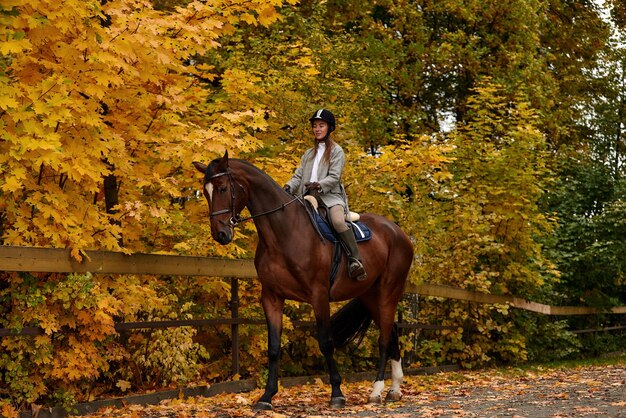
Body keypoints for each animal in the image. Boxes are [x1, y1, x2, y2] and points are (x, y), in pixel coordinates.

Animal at [193, 152, 412, 410]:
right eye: (205, 191)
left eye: (223, 188)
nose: (220, 234)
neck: (284, 232)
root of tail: (399, 232)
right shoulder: (272, 298)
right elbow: (273, 347)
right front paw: (266, 397)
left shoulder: (319, 296)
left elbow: (326, 342)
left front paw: (337, 394)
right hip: (370, 295)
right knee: (392, 331)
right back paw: (394, 390)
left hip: (388, 291)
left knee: (384, 338)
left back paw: (377, 391)